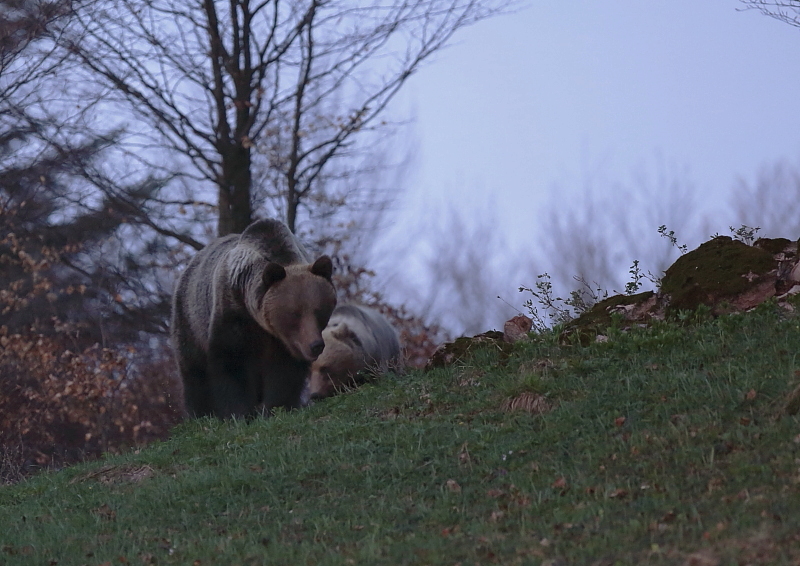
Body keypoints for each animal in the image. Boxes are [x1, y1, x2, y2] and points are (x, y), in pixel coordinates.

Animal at [172, 220, 338, 420]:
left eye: (319, 311)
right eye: (294, 313)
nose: (316, 345)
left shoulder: (284, 343)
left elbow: (284, 374)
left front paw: (276, 408)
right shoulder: (233, 315)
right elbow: (231, 365)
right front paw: (240, 413)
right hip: (190, 319)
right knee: (195, 373)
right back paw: (200, 414)